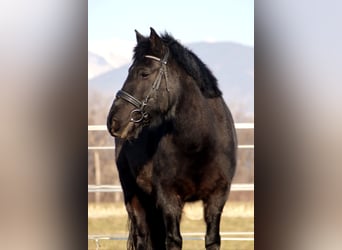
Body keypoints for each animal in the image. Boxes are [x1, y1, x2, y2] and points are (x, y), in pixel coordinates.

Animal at [108, 27, 236, 250]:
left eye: (144, 73)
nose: (113, 121)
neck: (199, 143)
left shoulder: (217, 196)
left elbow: (212, 239)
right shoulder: (169, 198)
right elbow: (174, 240)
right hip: (134, 197)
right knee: (143, 238)